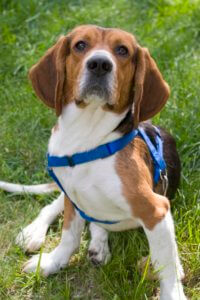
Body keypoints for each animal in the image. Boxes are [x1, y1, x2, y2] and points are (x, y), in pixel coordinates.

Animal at [0, 24, 187, 298]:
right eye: (80, 45)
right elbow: (69, 236)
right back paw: (35, 231)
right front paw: (53, 262)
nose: (99, 64)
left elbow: (167, 268)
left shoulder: (156, 209)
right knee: (55, 206)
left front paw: (172, 291)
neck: (87, 137)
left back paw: (99, 244)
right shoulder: (72, 194)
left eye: (123, 50)